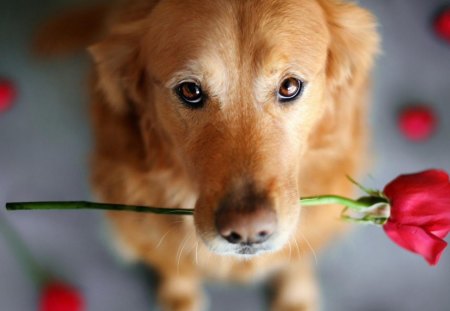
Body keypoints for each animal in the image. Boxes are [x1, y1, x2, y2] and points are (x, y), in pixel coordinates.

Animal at [36, 1, 380, 310]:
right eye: (190, 91)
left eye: (290, 86)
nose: (247, 231)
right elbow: (172, 265)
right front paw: (179, 297)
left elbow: (297, 261)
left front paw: (296, 296)